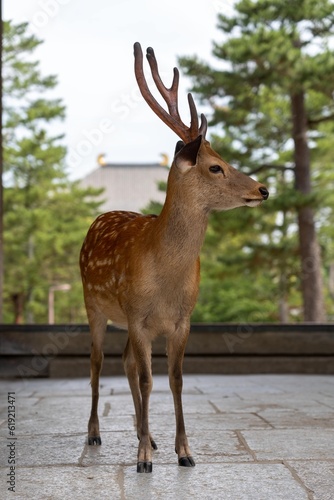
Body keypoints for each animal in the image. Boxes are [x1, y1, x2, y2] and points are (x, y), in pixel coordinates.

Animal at [80, 42, 268, 472]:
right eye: (215, 167)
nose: (263, 189)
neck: (165, 276)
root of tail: (98, 217)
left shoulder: (182, 319)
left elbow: (176, 379)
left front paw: (183, 451)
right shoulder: (138, 316)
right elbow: (148, 379)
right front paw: (143, 461)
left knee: (125, 363)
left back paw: (146, 435)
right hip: (94, 305)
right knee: (97, 363)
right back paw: (96, 433)